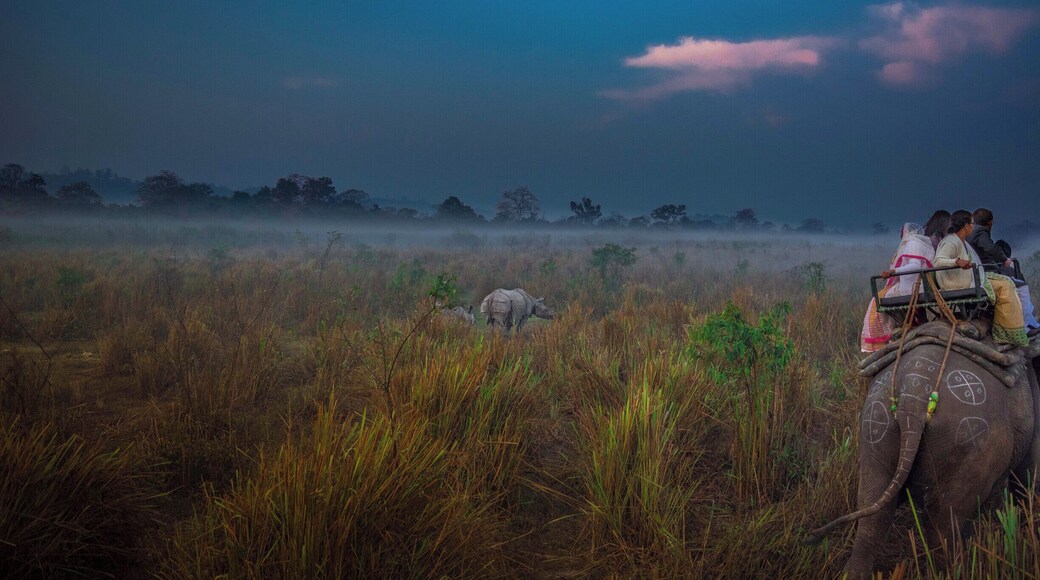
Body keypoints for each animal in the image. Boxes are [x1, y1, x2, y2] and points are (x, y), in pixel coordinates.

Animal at [808, 321, 1040, 578]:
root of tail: (913, 397)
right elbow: (1029, 474)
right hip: (973, 445)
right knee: (945, 523)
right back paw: (953, 569)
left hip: (874, 427)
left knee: (873, 507)